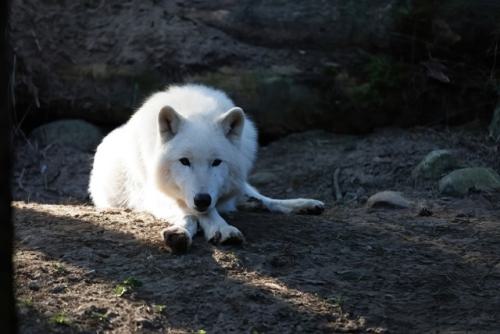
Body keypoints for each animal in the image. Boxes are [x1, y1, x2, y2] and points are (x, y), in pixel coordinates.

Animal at [89, 85, 324, 252]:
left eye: (216, 162)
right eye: (184, 161)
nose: (202, 199)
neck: (196, 112)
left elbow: (206, 211)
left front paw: (221, 228)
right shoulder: (156, 195)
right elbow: (193, 214)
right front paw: (190, 231)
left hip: (240, 185)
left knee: (263, 199)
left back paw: (304, 204)